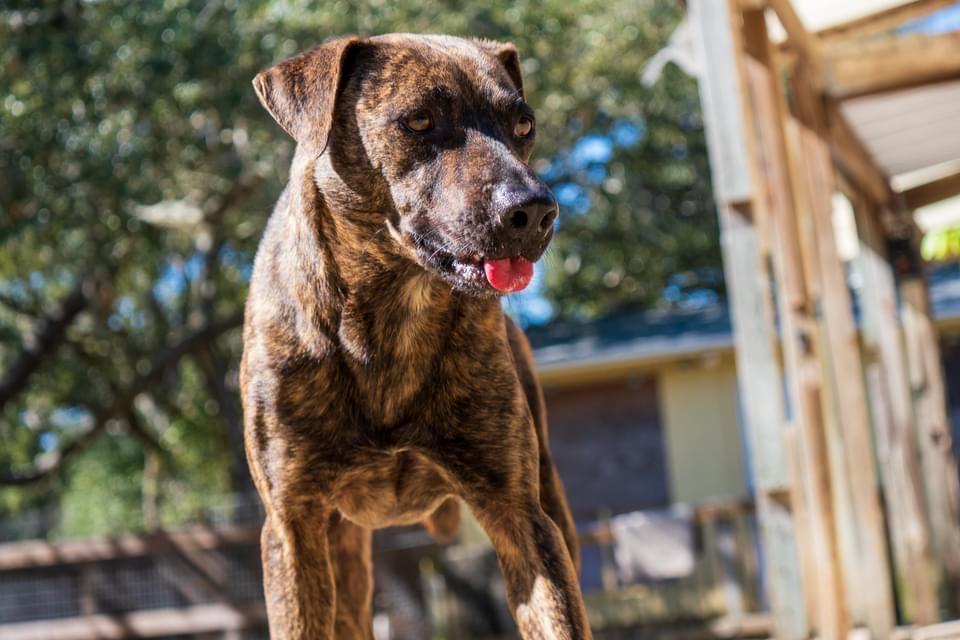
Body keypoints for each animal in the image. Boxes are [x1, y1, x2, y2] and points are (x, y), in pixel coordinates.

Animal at [240, 36, 588, 640]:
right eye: (420, 120)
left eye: (523, 125)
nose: (536, 209)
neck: (394, 307)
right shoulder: (293, 527)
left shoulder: (520, 515)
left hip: (551, 501)